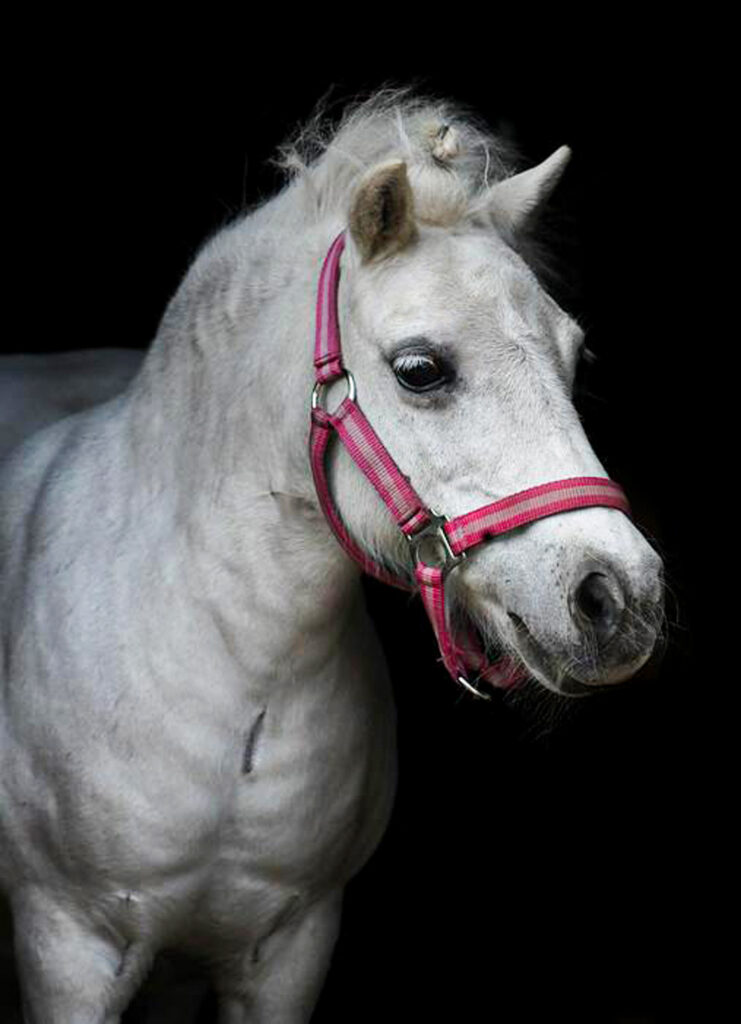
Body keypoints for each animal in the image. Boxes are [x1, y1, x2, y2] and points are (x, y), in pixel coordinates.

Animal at [0, 92, 663, 1019]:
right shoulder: (66, 944)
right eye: (420, 369)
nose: (619, 598)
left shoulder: (292, 948)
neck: (237, 670)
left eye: (574, 356)